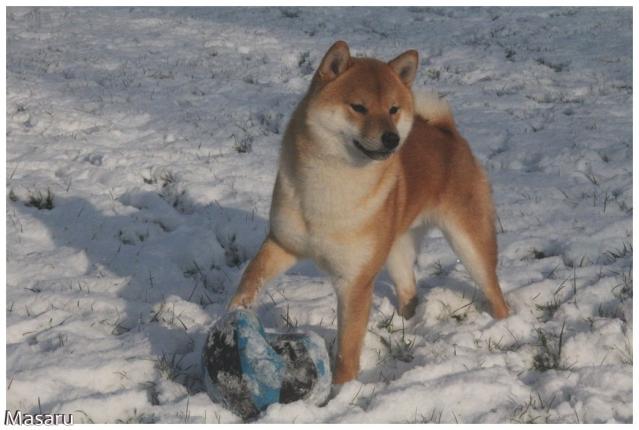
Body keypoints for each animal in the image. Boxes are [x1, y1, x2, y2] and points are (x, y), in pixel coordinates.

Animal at [230, 40, 510, 382]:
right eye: (359, 107)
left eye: (393, 109)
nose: (392, 138)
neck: (333, 186)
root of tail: (448, 133)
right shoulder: (283, 243)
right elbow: (251, 277)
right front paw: (235, 314)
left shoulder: (355, 282)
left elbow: (347, 350)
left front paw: (341, 391)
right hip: (395, 248)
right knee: (408, 288)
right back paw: (406, 321)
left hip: (470, 244)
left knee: (494, 291)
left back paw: (502, 324)